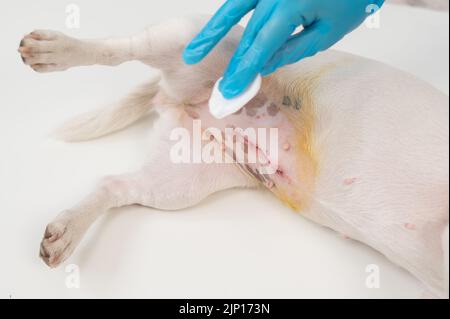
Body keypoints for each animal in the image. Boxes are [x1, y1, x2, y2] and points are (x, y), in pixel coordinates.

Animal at [19, 15, 448, 300]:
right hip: (191, 38)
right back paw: (53, 50)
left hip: (180, 180)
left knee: (113, 185)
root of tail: (177, 96)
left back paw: (66, 231)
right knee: (118, 49)